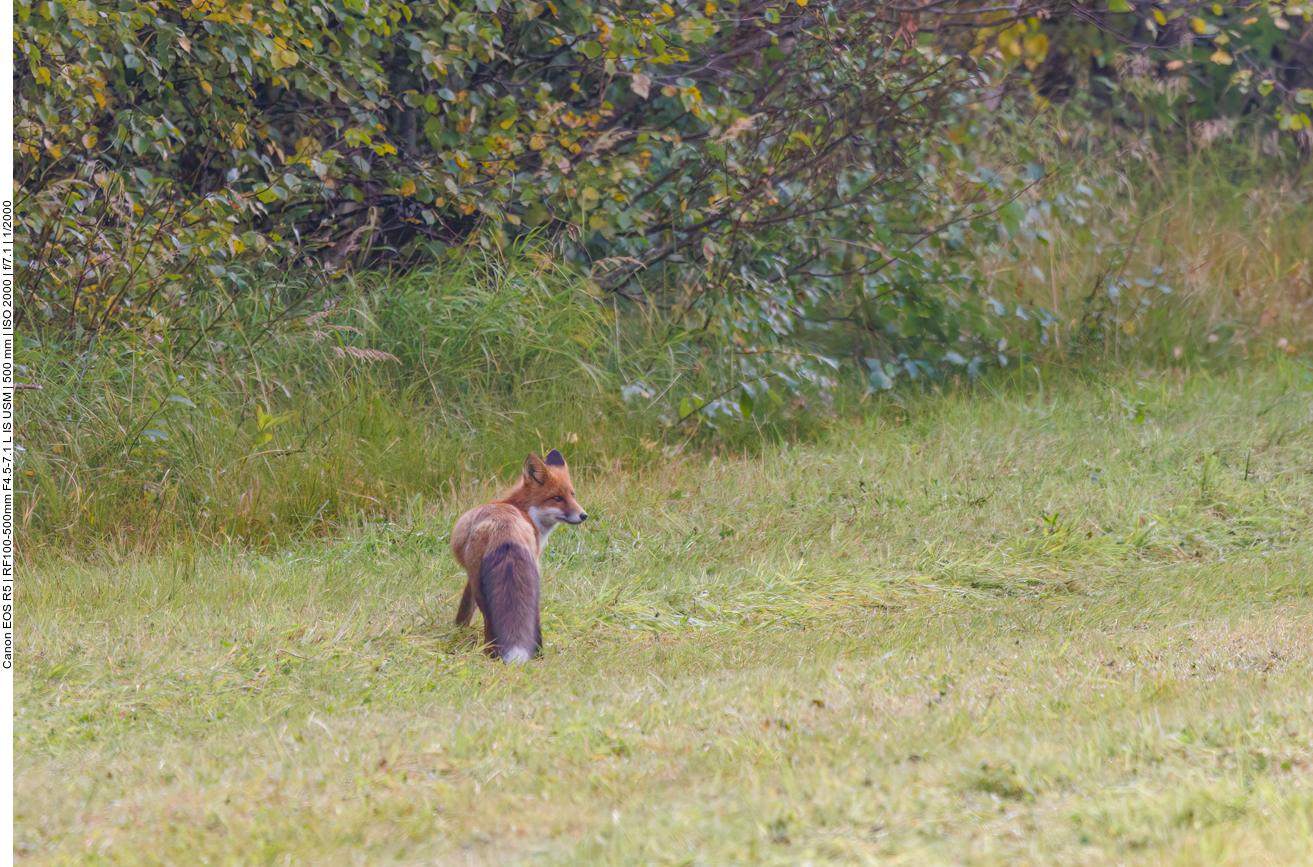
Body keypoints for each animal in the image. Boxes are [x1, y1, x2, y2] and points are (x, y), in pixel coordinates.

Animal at [450, 449, 587, 663]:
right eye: (557, 498)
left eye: (572, 495)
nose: (583, 515)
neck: (523, 511)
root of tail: (504, 530)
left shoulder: (470, 578)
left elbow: (465, 606)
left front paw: (459, 629)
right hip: (533, 584)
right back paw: (537, 656)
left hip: (483, 586)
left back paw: (493, 656)